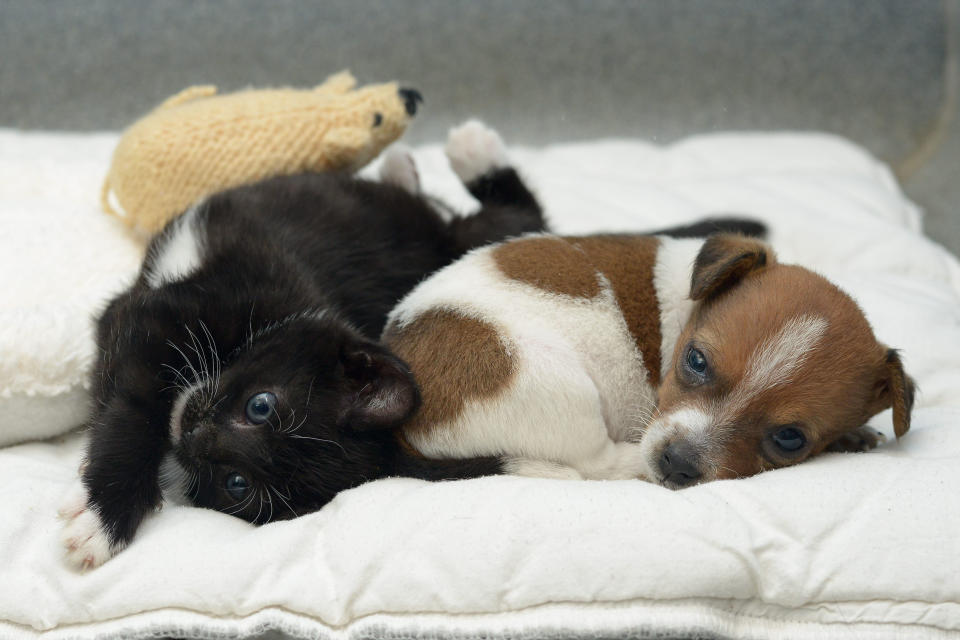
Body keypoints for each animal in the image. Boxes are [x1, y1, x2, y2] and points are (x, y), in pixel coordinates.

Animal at [58, 121, 540, 568]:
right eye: (261, 405)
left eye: (237, 484)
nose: (192, 439)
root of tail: (438, 229)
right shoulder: (164, 313)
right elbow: (135, 407)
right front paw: (106, 515)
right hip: (459, 239)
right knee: (519, 220)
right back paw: (468, 150)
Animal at [382, 232, 916, 488]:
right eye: (696, 361)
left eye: (789, 439)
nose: (676, 463)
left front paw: (853, 434)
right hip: (559, 391)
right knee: (599, 465)